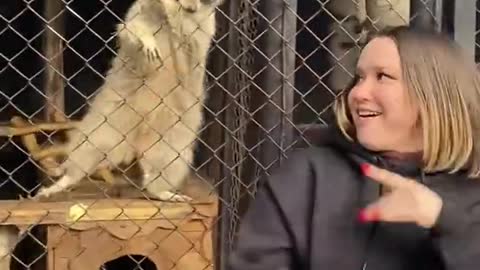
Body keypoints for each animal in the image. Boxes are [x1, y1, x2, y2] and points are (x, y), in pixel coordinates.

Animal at [34, 0, 222, 200]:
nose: (191, 7)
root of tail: (136, 144)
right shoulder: (137, 15)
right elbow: (130, 29)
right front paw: (148, 35)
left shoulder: (202, 28)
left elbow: (190, 36)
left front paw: (177, 7)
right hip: (105, 124)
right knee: (86, 151)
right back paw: (65, 180)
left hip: (173, 139)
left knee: (168, 163)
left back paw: (160, 191)